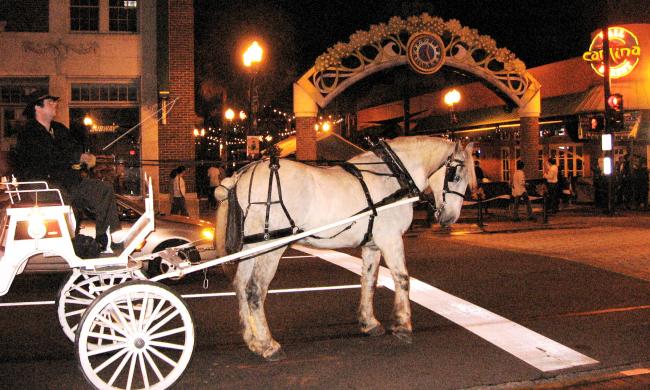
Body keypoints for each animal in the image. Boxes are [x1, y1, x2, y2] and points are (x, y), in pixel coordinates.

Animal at [215, 136, 474, 360]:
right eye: (456, 175)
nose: (450, 218)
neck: (393, 176)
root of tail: (241, 175)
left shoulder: (372, 245)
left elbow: (369, 281)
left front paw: (369, 323)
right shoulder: (391, 239)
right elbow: (402, 278)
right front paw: (403, 326)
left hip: (251, 247)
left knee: (240, 285)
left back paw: (252, 340)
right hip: (271, 247)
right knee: (255, 290)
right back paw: (268, 345)